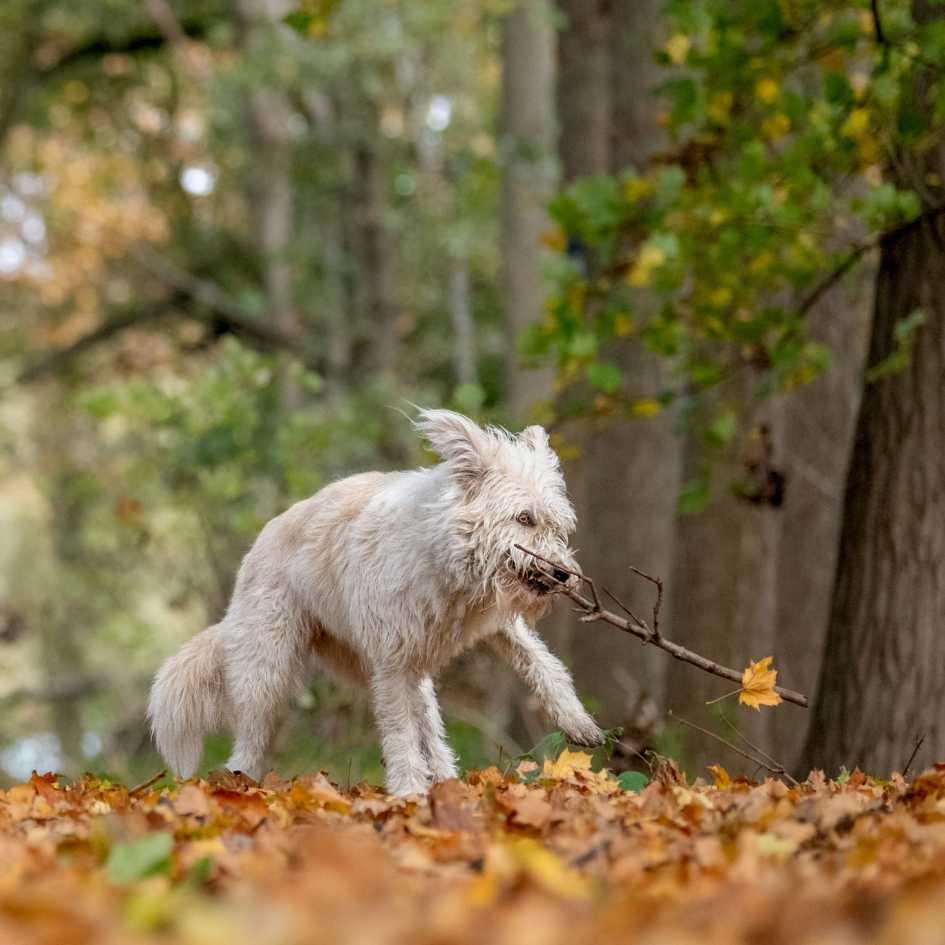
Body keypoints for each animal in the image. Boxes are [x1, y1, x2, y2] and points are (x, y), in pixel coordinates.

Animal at [148, 410, 604, 792]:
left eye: (557, 525)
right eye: (523, 518)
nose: (563, 574)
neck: (447, 559)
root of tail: (262, 539)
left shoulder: (494, 625)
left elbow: (545, 666)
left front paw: (577, 721)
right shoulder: (391, 662)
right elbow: (400, 735)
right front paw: (408, 794)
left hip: (395, 668)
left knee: (429, 724)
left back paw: (446, 779)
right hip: (268, 668)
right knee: (251, 736)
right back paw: (240, 783)